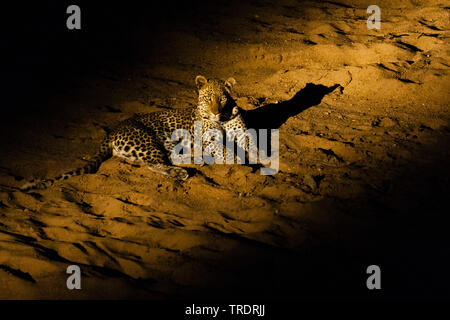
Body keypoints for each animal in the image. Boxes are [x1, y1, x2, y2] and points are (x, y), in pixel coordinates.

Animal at [20, 75, 256, 191]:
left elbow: (254, 147)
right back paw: (182, 172)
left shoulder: (242, 134)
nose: (215, 113)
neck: (223, 117)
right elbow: (226, 150)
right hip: (148, 142)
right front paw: (240, 165)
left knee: (168, 159)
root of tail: (112, 131)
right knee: (155, 164)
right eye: (208, 99)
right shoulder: (211, 141)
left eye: (222, 98)